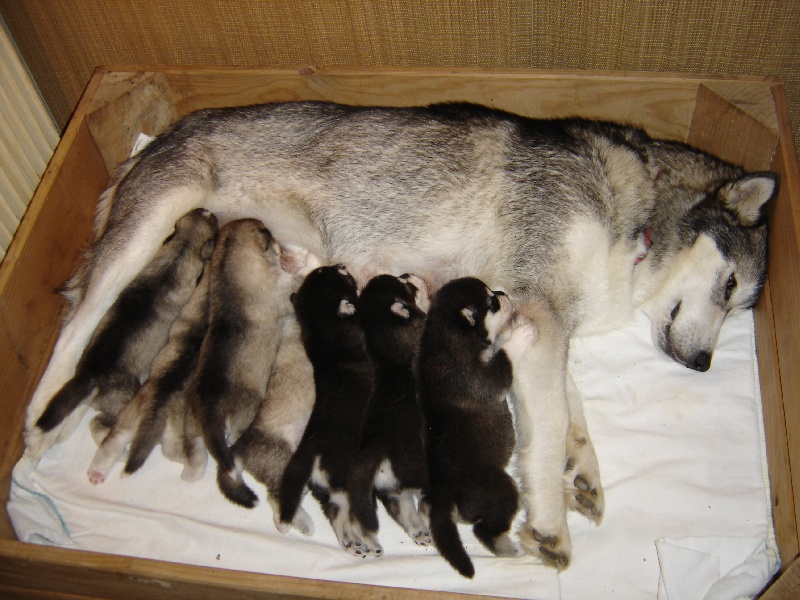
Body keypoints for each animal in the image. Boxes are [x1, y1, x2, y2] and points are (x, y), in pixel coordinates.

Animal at [418, 278, 536, 580]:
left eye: (494, 294)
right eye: (492, 302)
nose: (503, 293)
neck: (444, 329)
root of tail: (445, 494)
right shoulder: (483, 379)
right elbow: (504, 356)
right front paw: (521, 334)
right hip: (502, 489)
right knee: (483, 530)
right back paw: (509, 549)